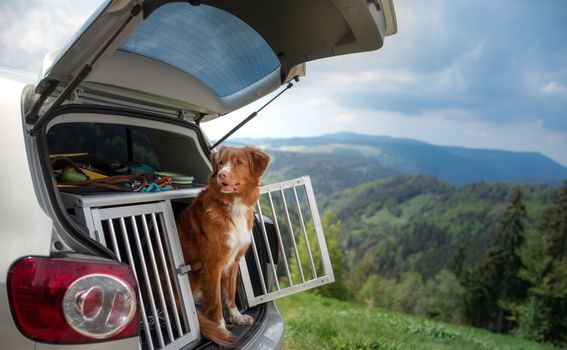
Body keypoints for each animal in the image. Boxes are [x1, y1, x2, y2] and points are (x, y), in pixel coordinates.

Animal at [178, 146, 270, 348]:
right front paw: (220, 327)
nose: (222, 174)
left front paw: (237, 317)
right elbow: (216, 302)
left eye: (238, 162)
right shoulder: (213, 265)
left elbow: (230, 293)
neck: (233, 205)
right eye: (221, 163)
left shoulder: (234, 261)